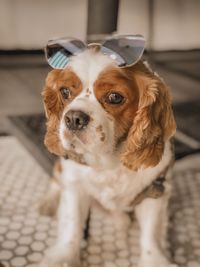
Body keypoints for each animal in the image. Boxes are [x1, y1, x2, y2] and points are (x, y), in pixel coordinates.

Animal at [39, 45, 177, 266]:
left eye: (114, 97)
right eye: (65, 92)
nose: (73, 118)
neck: (108, 161)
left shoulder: (155, 190)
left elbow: (151, 233)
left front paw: (154, 259)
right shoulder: (75, 185)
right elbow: (72, 224)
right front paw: (64, 256)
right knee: (56, 177)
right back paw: (48, 202)